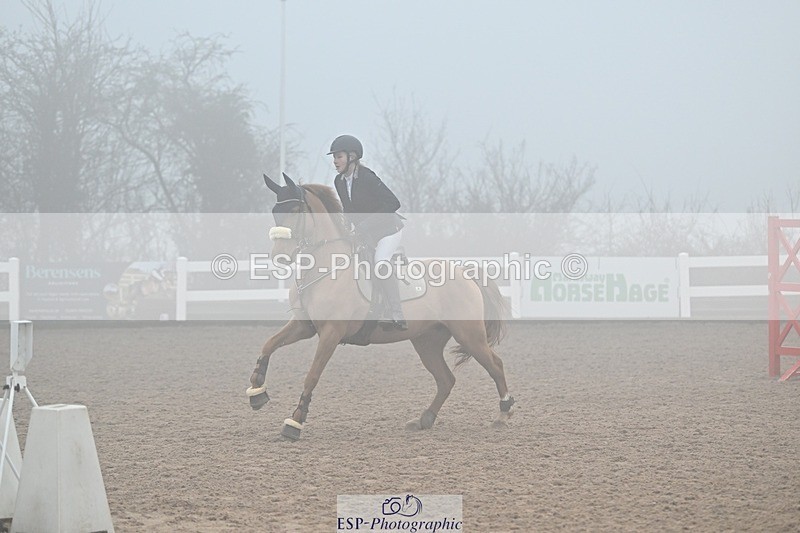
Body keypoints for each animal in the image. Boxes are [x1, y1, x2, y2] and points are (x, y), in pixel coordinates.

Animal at [247, 173, 515, 440]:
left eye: (296, 211)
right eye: (275, 211)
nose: (279, 256)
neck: (325, 267)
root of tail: (465, 272)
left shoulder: (331, 332)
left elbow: (312, 375)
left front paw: (294, 422)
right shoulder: (304, 326)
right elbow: (268, 344)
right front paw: (257, 392)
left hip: (469, 335)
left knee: (495, 365)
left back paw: (503, 415)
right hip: (427, 341)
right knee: (445, 379)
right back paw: (424, 419)